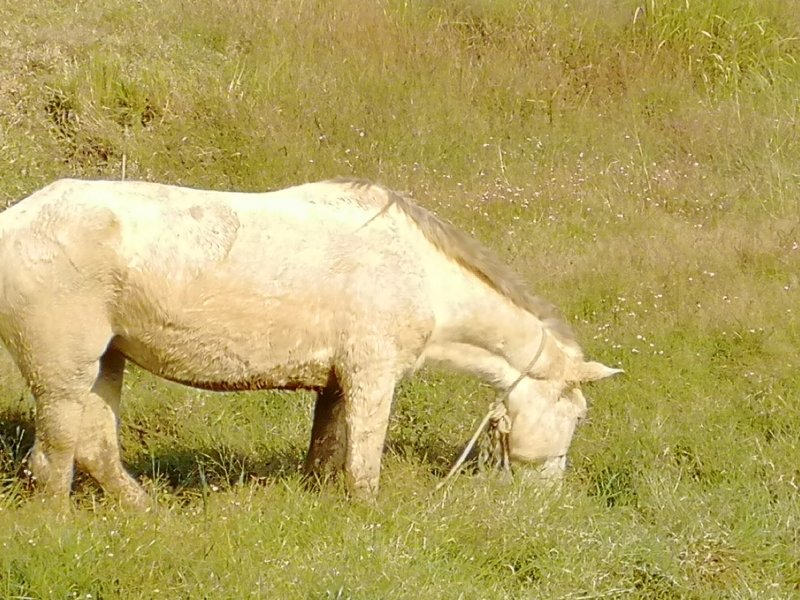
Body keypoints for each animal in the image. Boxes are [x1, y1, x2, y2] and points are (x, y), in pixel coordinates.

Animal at [0, 177, 620, 508]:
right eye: (579, 417)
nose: (546, 498)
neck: (421, 272)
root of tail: (16, 219)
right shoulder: (372, 378)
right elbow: (363, 466)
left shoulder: (336, 385)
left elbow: (325, 452)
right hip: (63, 374)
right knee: (53, 458)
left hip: (106, 362)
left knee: (95, 449)